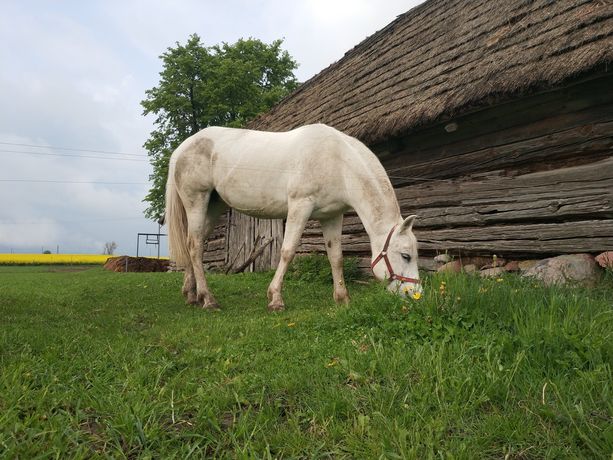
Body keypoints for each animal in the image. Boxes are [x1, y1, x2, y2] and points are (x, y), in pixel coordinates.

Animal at [164, 123, 420, 310]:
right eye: (406, 256)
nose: (415, 295)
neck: (337, 161)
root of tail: (181, 149)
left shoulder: (332, 216)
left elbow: (335, 257)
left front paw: (342, 299)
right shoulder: (300, 206)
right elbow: (287, 251)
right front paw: (275, 298)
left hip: (213, 206)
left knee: (194, 244)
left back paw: (191, 294)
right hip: (196, 201)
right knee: (194, 246)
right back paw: (208, 299)